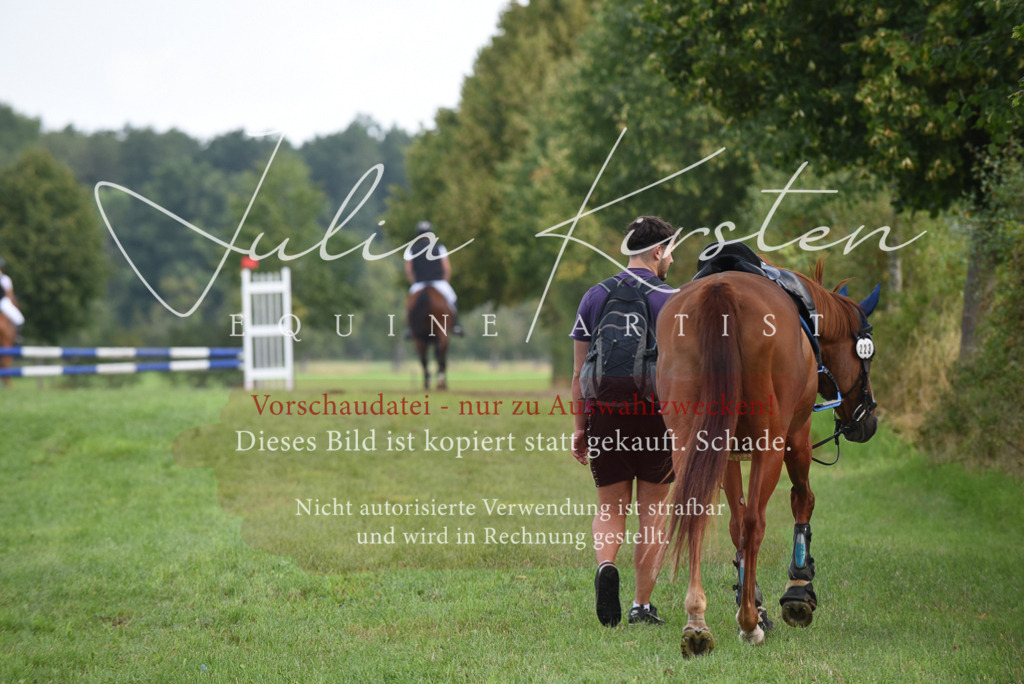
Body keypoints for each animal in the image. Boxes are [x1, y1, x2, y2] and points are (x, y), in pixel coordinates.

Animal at [656, 261, 879, 656]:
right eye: (866, 354)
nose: (868, 419)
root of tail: (721, 292)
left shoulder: (725, 454)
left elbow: (733, 523)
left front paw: (754, 601)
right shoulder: (797, 438)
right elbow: (802, 500)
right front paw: (797, 588)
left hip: (689, 441)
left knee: (698, 515)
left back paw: (697, 620)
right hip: (772, 444)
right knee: (755, 522)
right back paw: (748, 624)